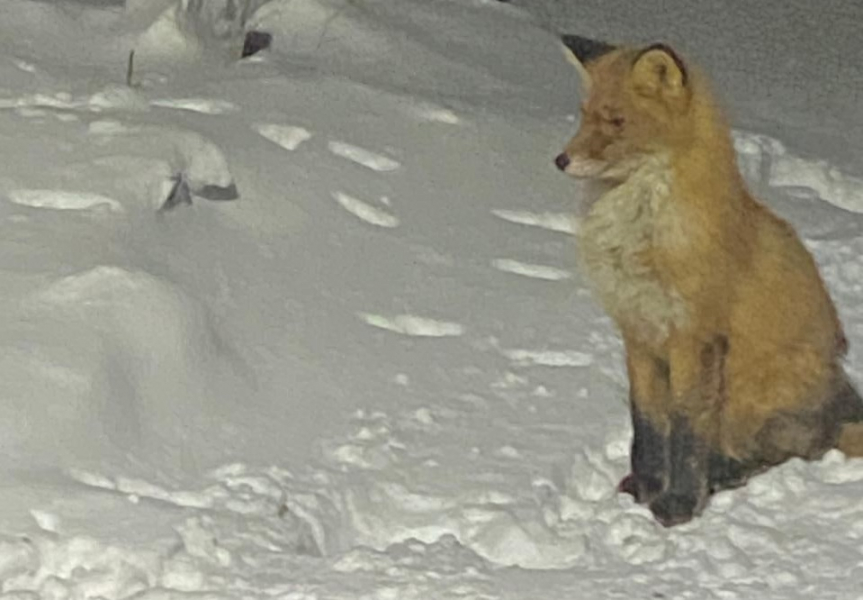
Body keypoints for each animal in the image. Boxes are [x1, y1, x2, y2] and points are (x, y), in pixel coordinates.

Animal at [553, 34, 863, 526]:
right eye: (584, 116)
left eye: (616, 121)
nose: (561, 160)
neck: (642, 236)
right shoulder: (638, 334)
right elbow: (646, 422)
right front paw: (645, 487)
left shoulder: (693, 337)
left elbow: (686, 428)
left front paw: (677, 505)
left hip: (751, 390)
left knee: (788, 452)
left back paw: (726, 473)